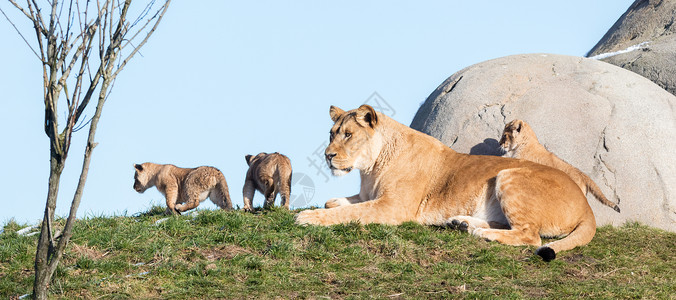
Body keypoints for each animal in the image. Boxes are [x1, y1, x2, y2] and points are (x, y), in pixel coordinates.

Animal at [298, 104, 596, 262]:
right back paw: (462, 223)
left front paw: (308, 217)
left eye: (348, 135)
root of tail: (587, 207)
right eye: (331, 134)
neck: (370, 168)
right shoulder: (372, 196)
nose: (327, 156)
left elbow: (350, 212)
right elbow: (342, 203)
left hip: (508, 174)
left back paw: (481, 233)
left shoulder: (394, 207)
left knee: (529, 235)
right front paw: (330, 204)